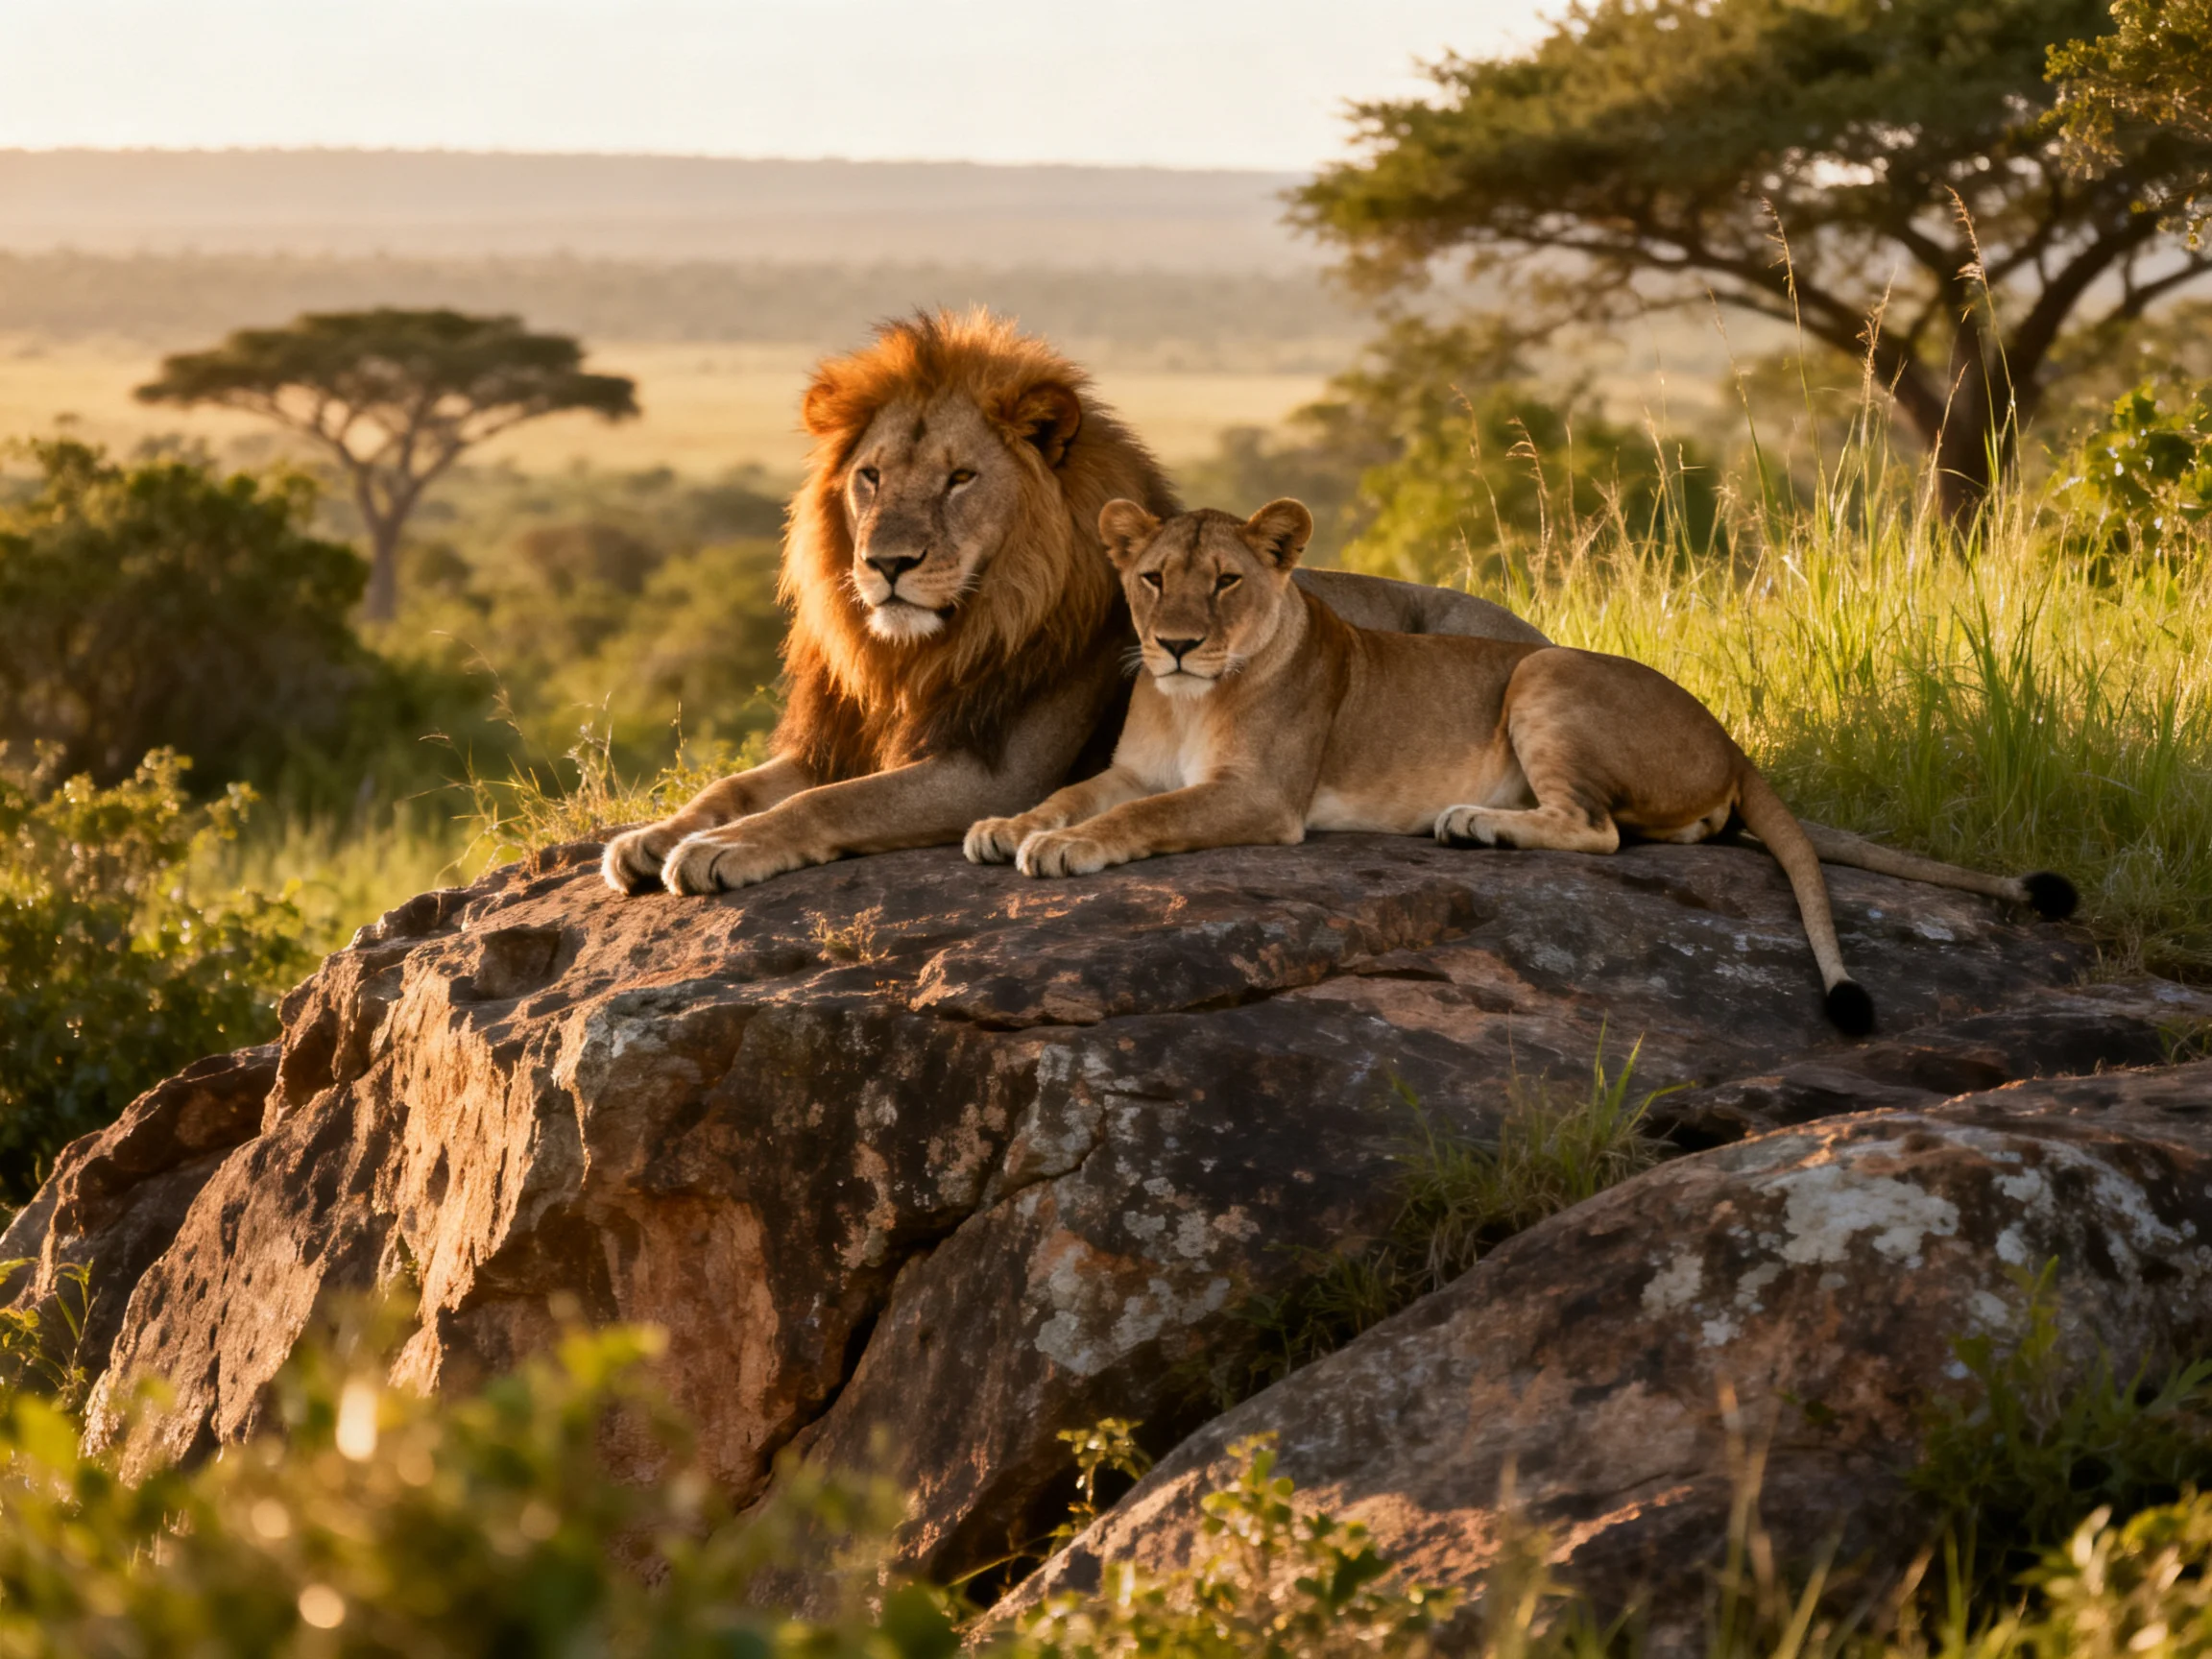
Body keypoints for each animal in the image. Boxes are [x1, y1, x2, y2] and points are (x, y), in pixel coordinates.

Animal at [601, 310, 1546, 897]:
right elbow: (736, 784)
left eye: (959, 478)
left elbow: (823, 806)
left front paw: (722, 851)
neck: (927, 650)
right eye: (869, 477)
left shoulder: (994, 772)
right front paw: (657, 834)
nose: (886, 564)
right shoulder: (844, 739)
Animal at [965, 499, 2079, 1035]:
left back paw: (1475, 824)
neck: (1193, 697)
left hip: (1541, 673)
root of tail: (1733, 737)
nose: (1178, 644)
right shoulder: (1137, 767)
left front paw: (1064, 850)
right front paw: (1006, 826)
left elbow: (1134, 822)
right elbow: (1075, 791)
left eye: (1227, 583)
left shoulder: (1262, 798)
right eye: (1154, 580)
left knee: (1602, 830)